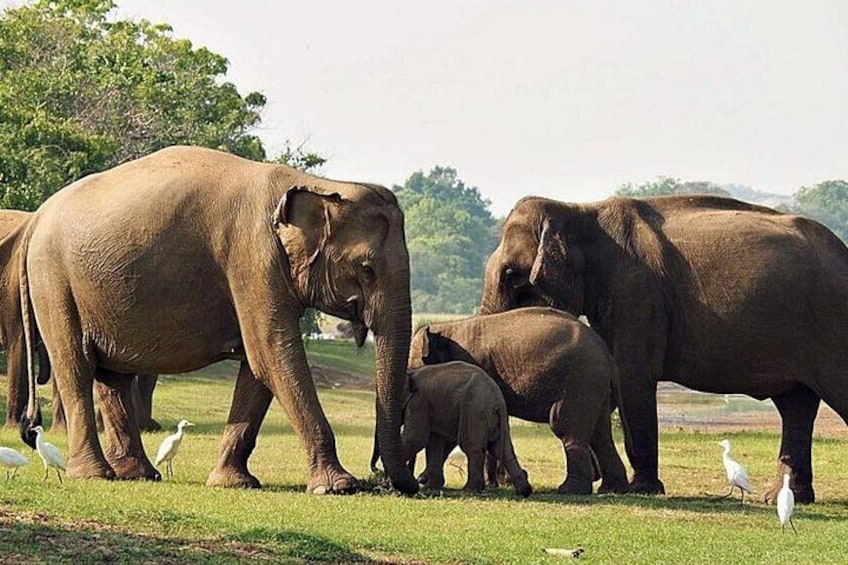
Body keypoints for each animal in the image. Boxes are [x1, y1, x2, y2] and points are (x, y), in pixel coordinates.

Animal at [19, 145, 417, 494]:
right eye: (366, 268)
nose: (398, 484)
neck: (316, 183)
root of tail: (36, 218)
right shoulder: (252, 257)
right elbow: (273, 353)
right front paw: (337, 487)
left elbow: (258, 366)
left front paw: (233, 483)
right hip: (53, 282)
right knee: (75, 366)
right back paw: (94, 475)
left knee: (112, 375)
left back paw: (137, 475)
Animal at [399, 361, 532, 496]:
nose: (417, 480)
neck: (411, 372)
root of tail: (498, 401)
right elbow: (434, 442)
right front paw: (430, 487)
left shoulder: (419, 402)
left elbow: (416, 438)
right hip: (494, 419)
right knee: (500, 447)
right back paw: (524, 490)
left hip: (474, 411)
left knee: (472, 447)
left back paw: (469, 490)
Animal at [482, 195, 848, 503]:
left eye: (512, 274)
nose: (503, 482)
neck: (580, 210)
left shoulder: (638, 294)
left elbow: (631, 377)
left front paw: (642, 490)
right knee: (795, 405)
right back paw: (785, 498)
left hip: (831, 327)